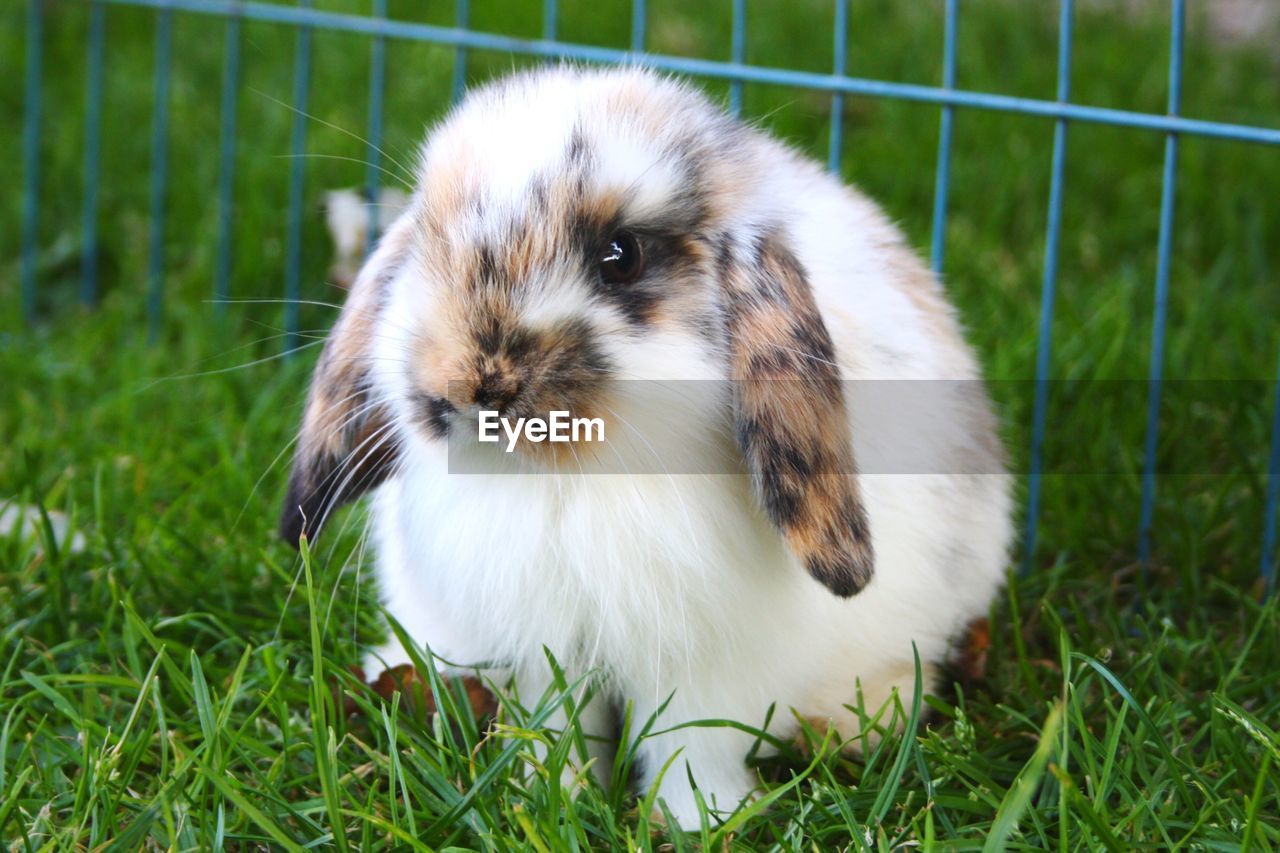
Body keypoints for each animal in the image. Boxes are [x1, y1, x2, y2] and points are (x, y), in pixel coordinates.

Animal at [277, 68, 1008, 829]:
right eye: (426, 241)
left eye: (620, 255)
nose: (467, 385)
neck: (569, 480)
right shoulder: (546, 650)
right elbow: (556, 728)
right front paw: (547, 801)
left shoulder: (707, 669)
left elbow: (693, 745)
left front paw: (702, 822)